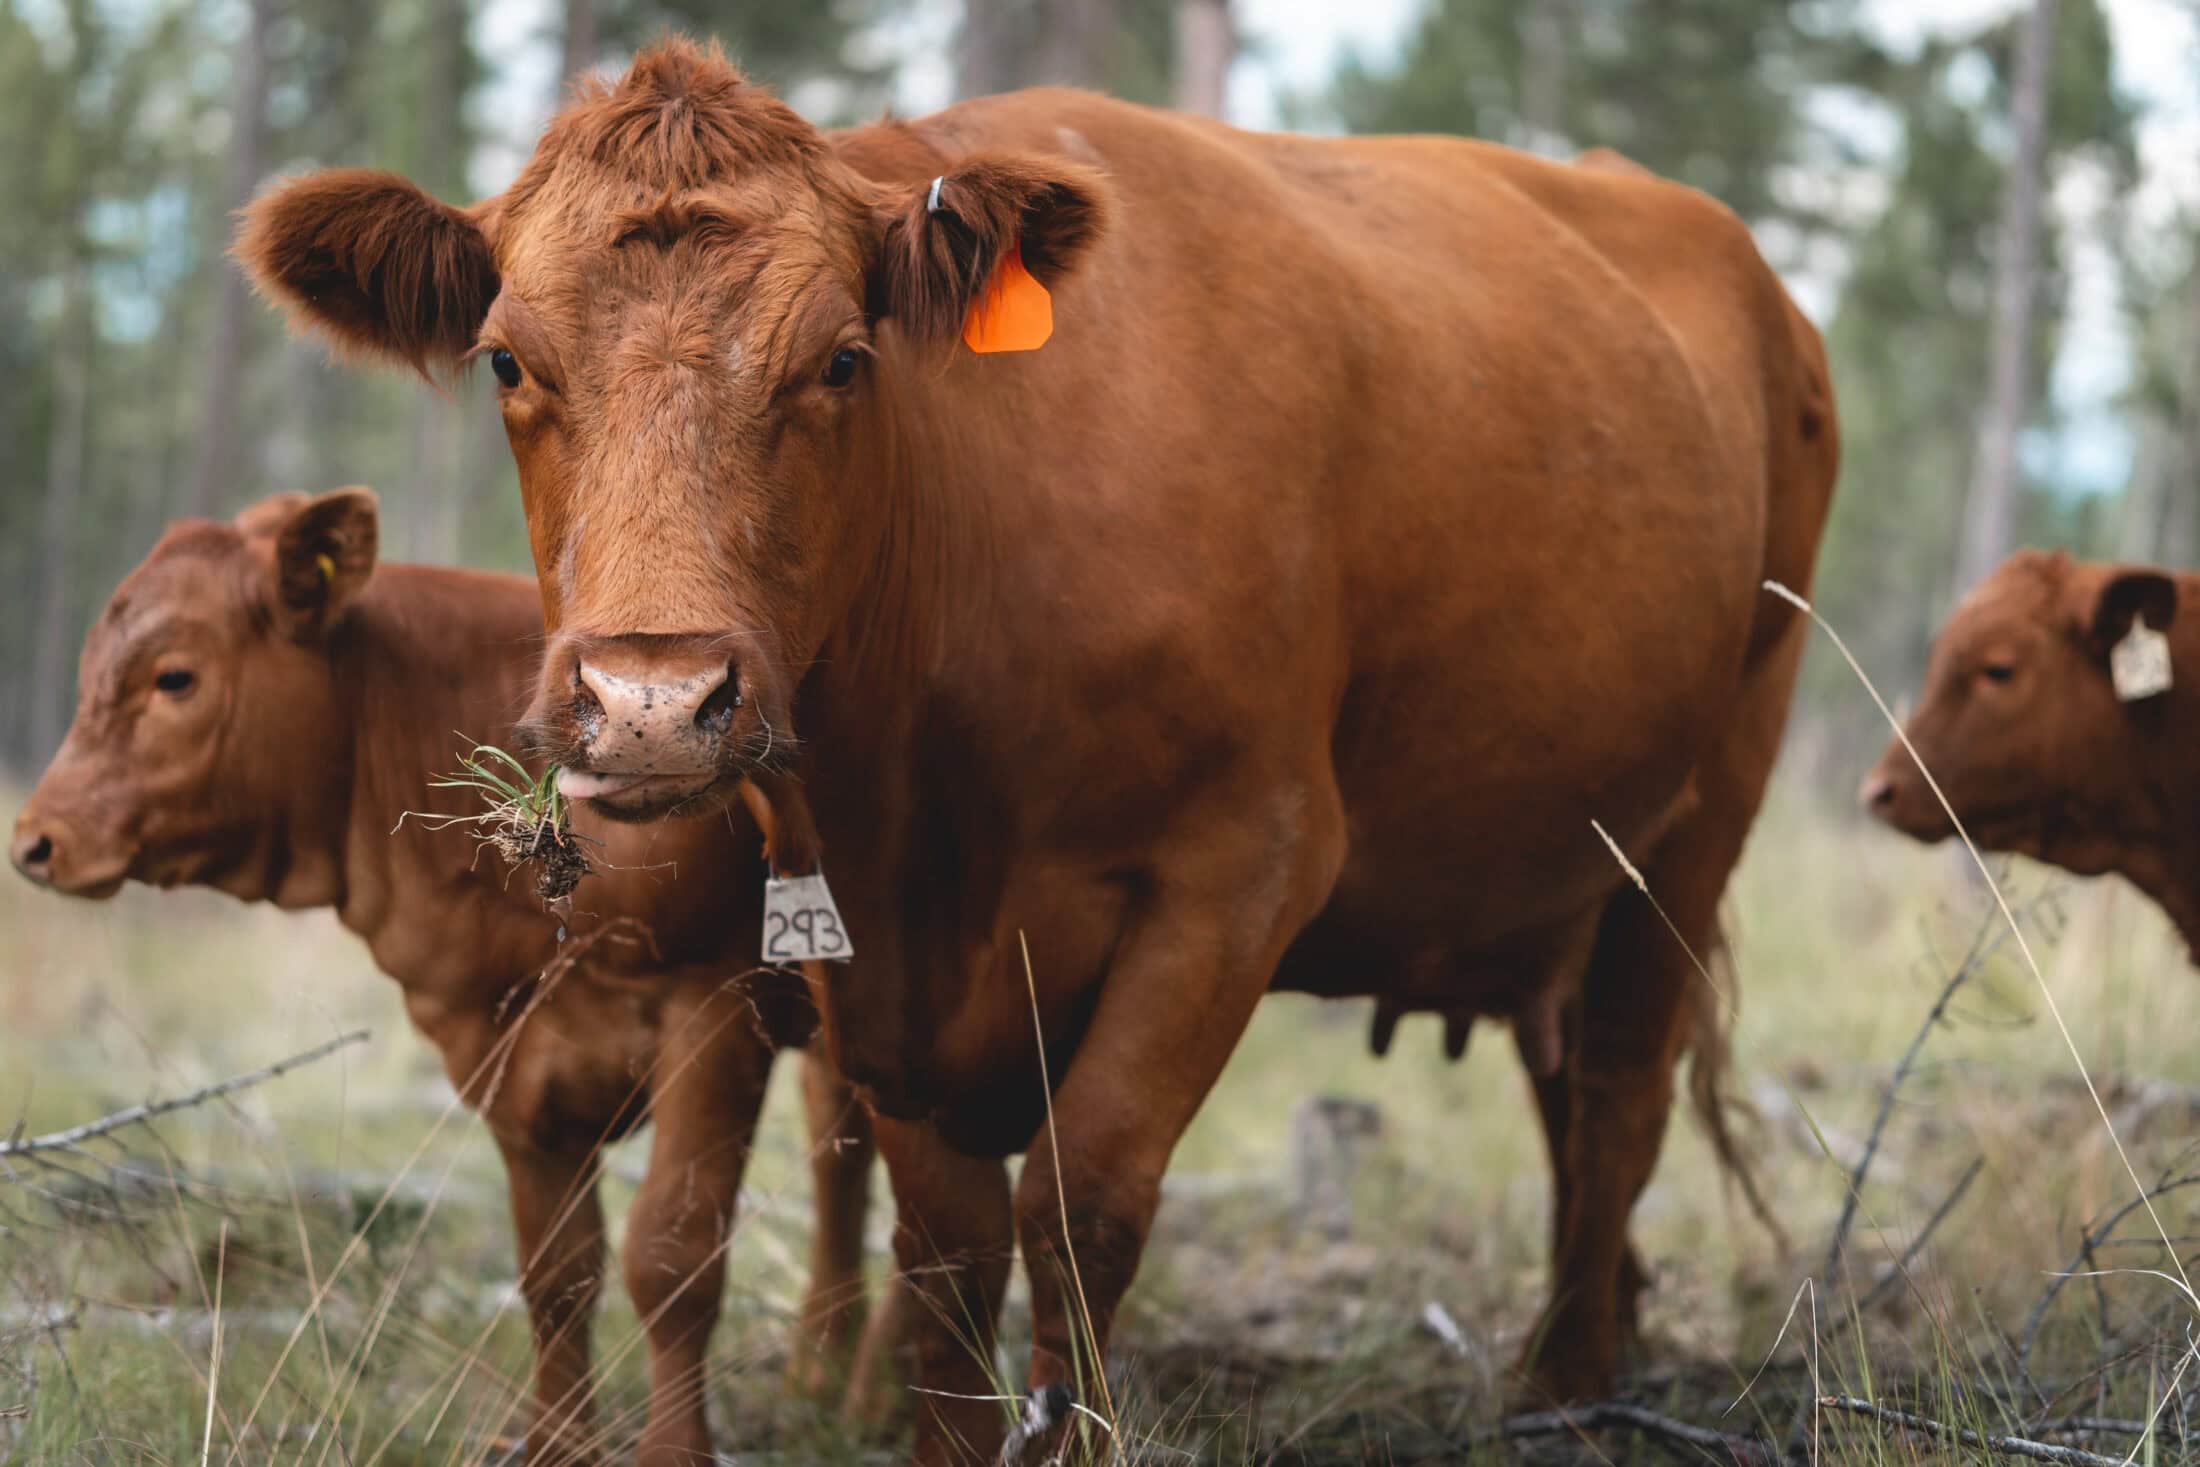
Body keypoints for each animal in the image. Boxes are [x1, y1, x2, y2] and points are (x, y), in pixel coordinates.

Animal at [8, 488, 897, 1460]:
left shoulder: (716, 1013)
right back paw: (826, 1383)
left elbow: (672, 1256)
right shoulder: (505, 1048)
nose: (38, 838)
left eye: (174, 677)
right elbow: (556, 1271)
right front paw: (556, 1442)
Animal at [236, 40, 1839, 1460]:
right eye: (510, 358)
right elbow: (947, 1244)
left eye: (842, 358)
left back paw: (1566, 1387)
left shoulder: (1239, 872)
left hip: (1699, 819)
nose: (651, 698)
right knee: (1572, 1101)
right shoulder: (868, 953)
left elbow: (1087, 1200)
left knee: (1618, 1100)